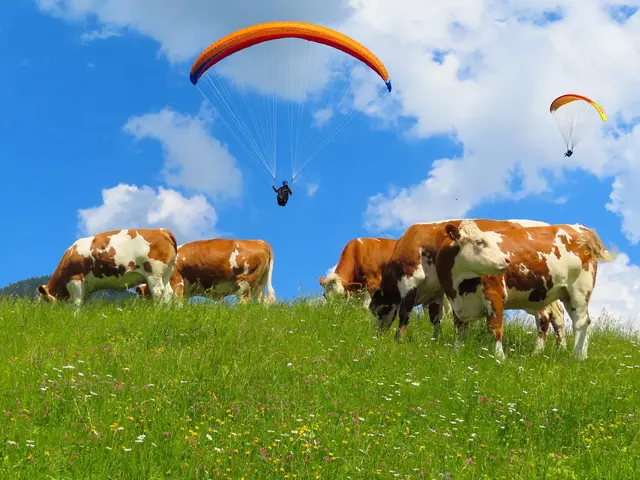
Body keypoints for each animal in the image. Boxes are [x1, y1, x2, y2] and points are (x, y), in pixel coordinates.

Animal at [36, 228, 179, 304]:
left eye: (44, 301)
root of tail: (160, 230)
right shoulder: (85, 286)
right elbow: (81, 302)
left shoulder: (76, 279)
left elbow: (76, 303)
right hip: (166, 274)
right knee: (168, 294)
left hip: (153, 273)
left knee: (158, 293)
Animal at [135, 237, 276, 304]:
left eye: (141, 294)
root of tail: (260, 242)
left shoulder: (176, 281)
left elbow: (177, 301)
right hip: (259, 285)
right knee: (263, 303)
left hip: (244, 283)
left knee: (244, 302)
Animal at [368, 219, 568, 346]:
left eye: (377, 309)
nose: (375, 335)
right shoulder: (435, 292)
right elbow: (435, 319)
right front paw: (436, 341)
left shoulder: (410, 281)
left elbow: (404, 313)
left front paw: (398, 341)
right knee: (557, 316)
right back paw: (560, 348)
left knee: (545, 316)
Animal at [432, 219, 612, 358]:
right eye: (479, 241)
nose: (507, 260)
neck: (461, 286)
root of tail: (580, 228)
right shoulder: (456, 304)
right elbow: (459, 331)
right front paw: (457, 354)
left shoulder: (495, 296)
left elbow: (496, 329)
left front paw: (499, 357)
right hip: (566, 294)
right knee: (581, 322)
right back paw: (580, 356)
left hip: (579, 290)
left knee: (580, 323)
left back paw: (576, 356)